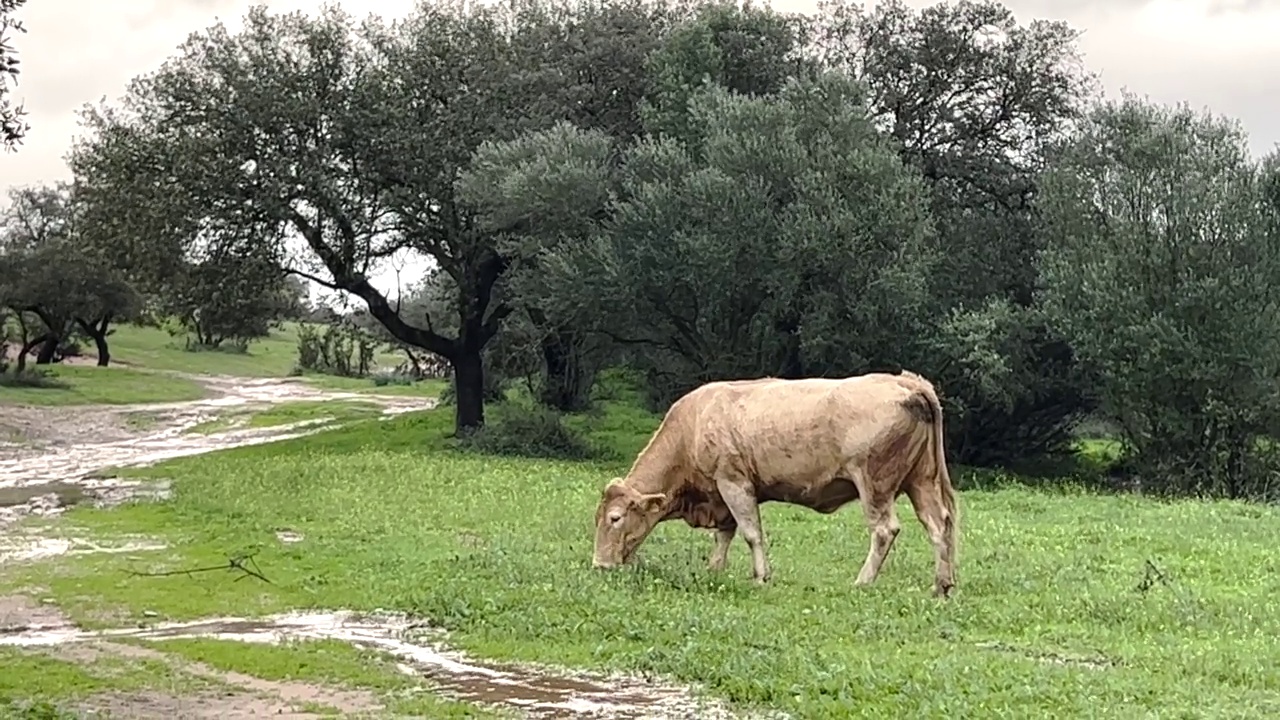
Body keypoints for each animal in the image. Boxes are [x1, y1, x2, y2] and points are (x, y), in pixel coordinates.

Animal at [588, 368, 962, 594]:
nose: (600, 565)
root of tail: (907, 382)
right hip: (921, 481)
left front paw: (760, 577)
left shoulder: (734, 482)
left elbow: (751, 533)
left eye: (615, 518)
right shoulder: (720, 496)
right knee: (939, 525)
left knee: (885, 530)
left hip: (875, 483)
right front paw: (715, 569)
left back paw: (862, 581)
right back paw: (941, 585)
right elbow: (724, 535)